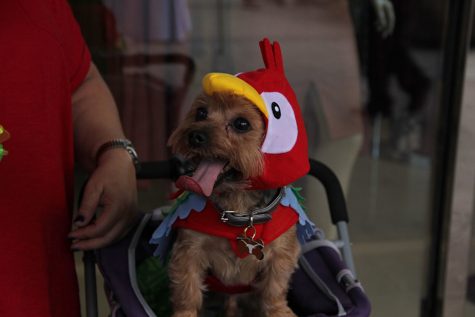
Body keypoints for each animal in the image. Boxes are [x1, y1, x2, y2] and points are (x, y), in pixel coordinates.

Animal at [167, 91, 300, 316]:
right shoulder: (190, 249)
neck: (239, 206)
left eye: (241, 124)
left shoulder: (281, 253)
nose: (194, 135)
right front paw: (185, 313)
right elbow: (188, 289)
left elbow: (274, 289)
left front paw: (279, 311)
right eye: (200, 112)